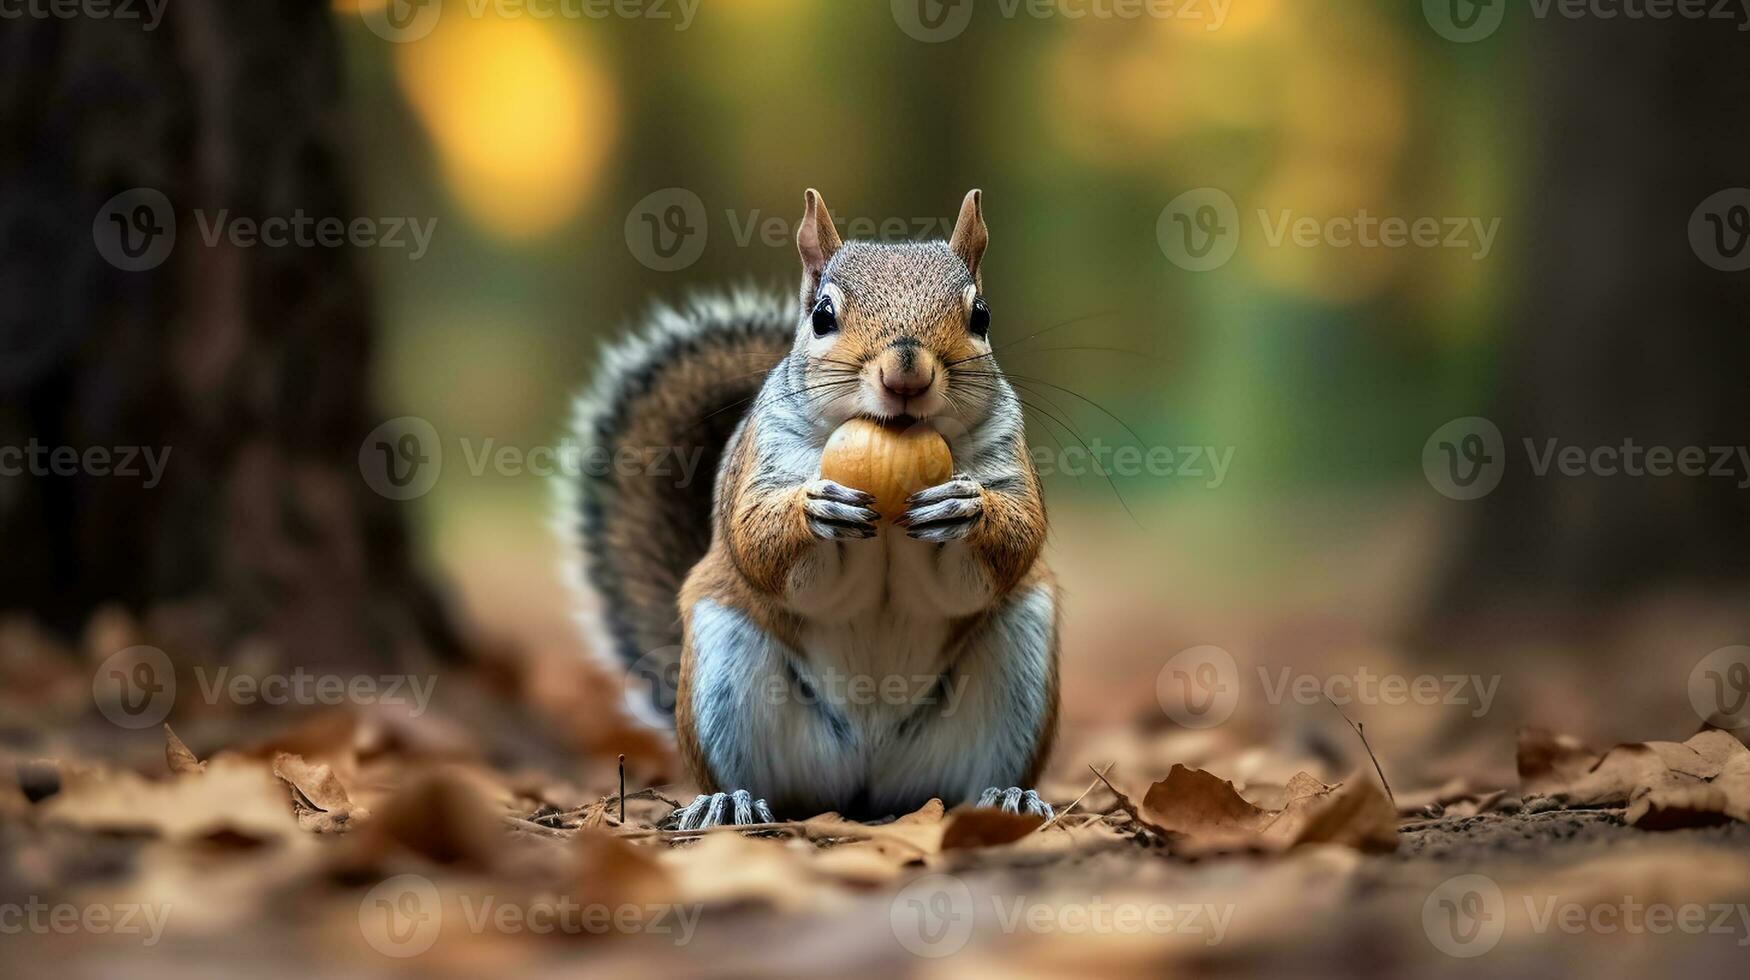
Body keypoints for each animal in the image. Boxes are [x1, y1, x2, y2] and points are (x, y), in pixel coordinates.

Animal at [567, 189, 1057, 826]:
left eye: (982, 315)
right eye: (823, 315)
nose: (906, 373)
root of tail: (867, 786)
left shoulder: (1006, 456)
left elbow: (1017, 537)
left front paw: (965, 508)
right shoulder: (765, 459)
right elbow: (756, 539)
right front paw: (814, 511)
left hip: (1018, 657)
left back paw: (1006, 797)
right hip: (724, 663)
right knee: (752, 778)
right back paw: (727, 801)